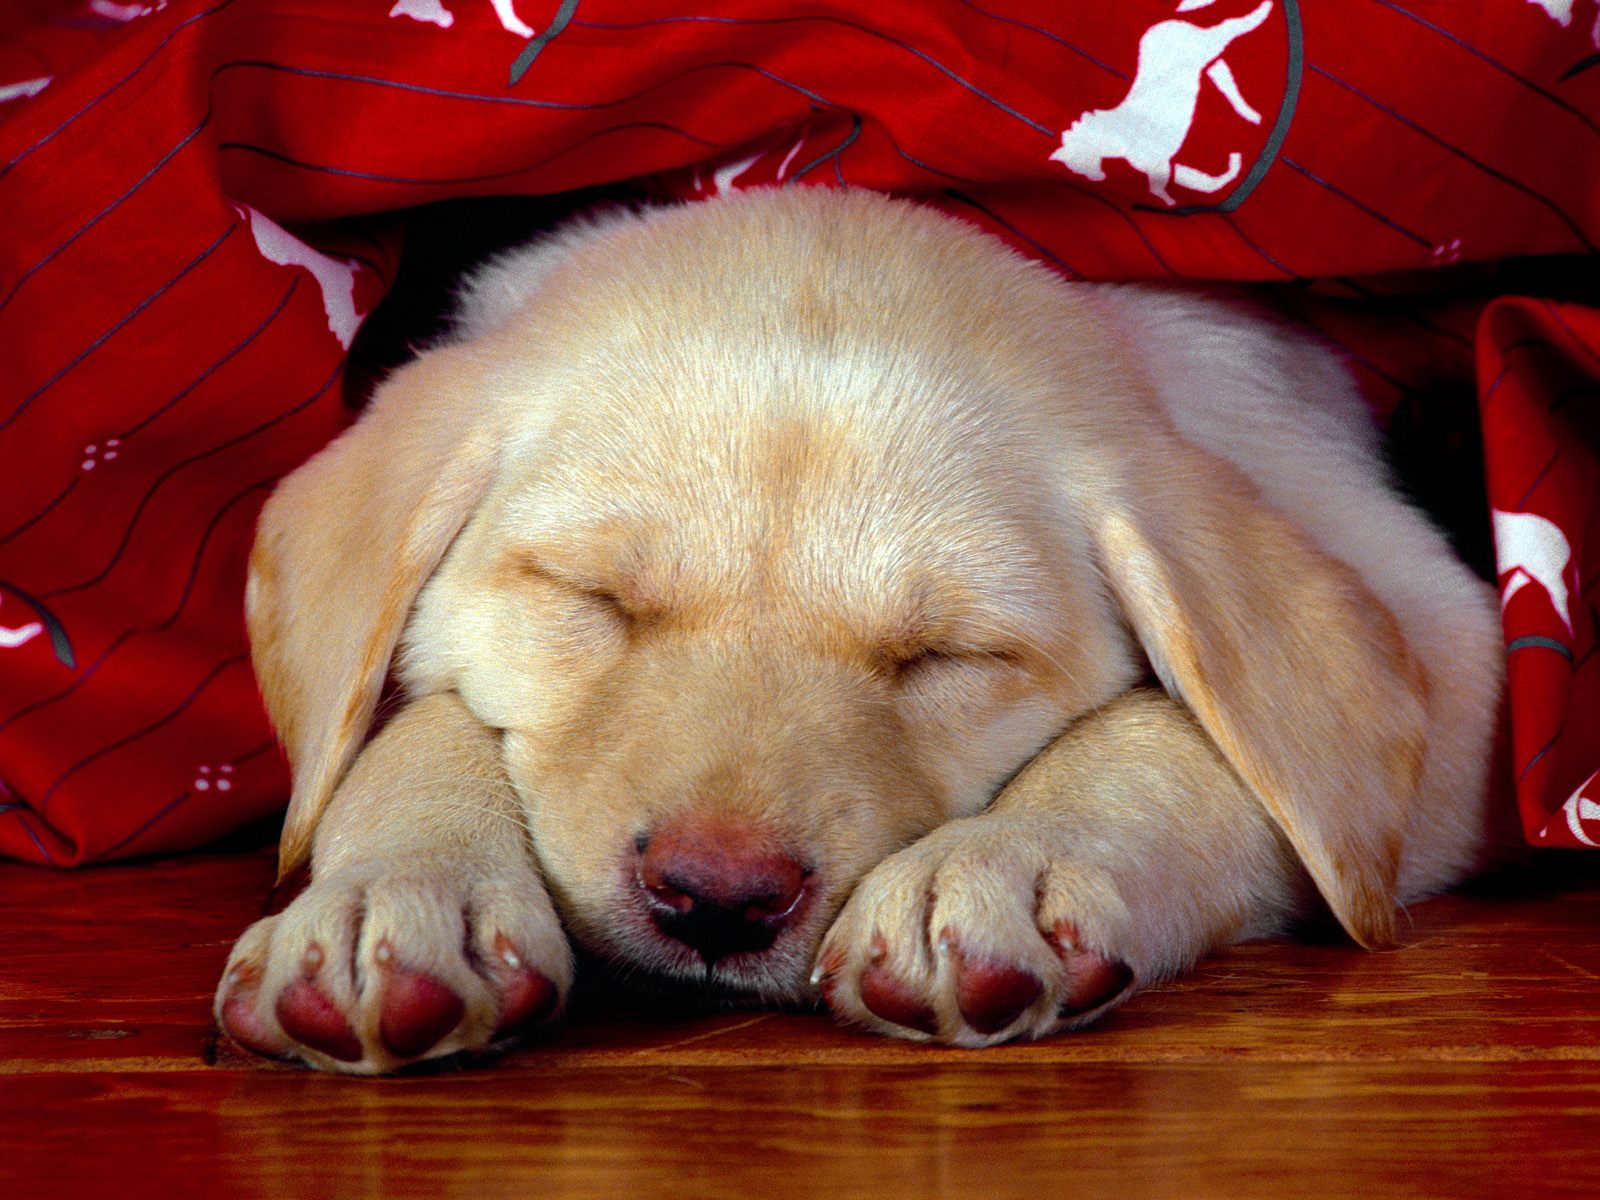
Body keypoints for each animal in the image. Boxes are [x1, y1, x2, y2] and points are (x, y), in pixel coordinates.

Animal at [209, 190, 1497, 1081]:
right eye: (594, 599)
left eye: (943, 658)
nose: (717, 900)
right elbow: (414, 726)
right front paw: (398, 892)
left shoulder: (1443, 643)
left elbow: (1180, 743)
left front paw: (999, 867)